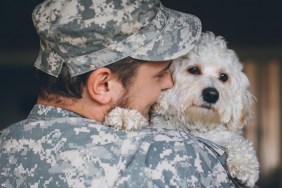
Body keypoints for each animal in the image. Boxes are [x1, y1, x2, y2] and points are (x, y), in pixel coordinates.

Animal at [105, 32, 260, 187]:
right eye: (193, 69)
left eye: (224, 77)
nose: (211, 94)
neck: (194, 124)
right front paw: (125, 115)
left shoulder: (222, 136)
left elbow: (237, 141)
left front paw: (244, 165)